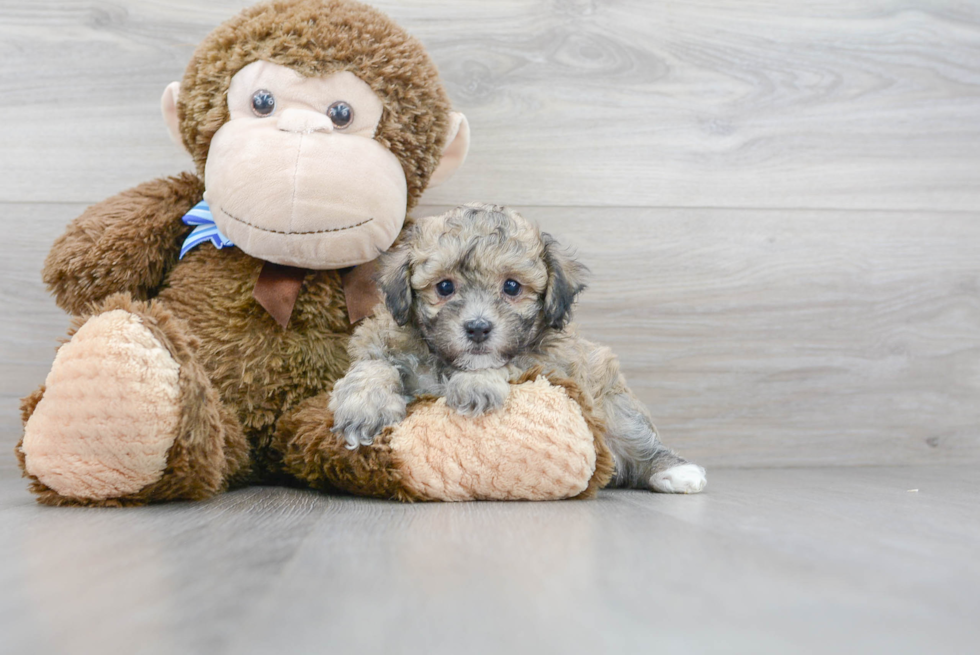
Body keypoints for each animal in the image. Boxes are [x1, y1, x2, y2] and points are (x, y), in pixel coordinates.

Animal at [330, 202, 704, 494]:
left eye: (511, 287)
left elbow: (508, 364)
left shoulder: (552, 360)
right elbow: (373, 364)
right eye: (444, 287)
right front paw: (363, 408)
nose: (478, 328)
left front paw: (475, 384)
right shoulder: (378, 336)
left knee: (637, 440)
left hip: (614, 407)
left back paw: (675, 471)